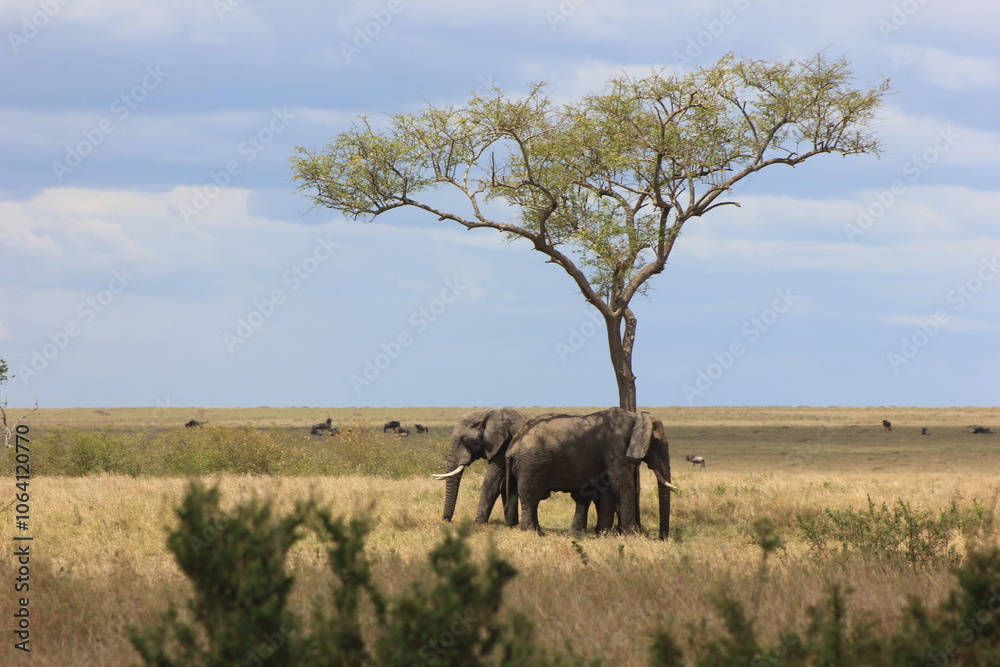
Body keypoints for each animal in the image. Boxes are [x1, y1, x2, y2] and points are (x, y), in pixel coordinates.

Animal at [505, 407, 676, 539]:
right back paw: (531, 533)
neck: (635, 416)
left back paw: (539, 533)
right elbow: (622, 483)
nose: (662, 539)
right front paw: (632, 537)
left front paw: (603, 535)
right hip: (531, 463)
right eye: (655, 443)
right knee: (531, 496)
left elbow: (609, 488)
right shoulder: (615, 445)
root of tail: (513, 445)